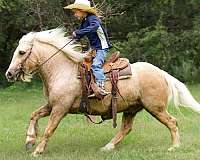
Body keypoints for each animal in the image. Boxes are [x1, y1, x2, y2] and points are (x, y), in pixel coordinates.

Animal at [5, 28, 199, 156]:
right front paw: (29, 140)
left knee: (172, 122)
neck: (62, 70)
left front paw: (37, 150)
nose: (9, 73)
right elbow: (34, 115)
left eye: (21, 52)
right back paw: (107, 147)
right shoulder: (52, 105)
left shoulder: (60, 108)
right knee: (126, 128)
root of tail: (161, 72)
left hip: (155, 107)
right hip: (131, 109)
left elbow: (49, 129)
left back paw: (174, 147)